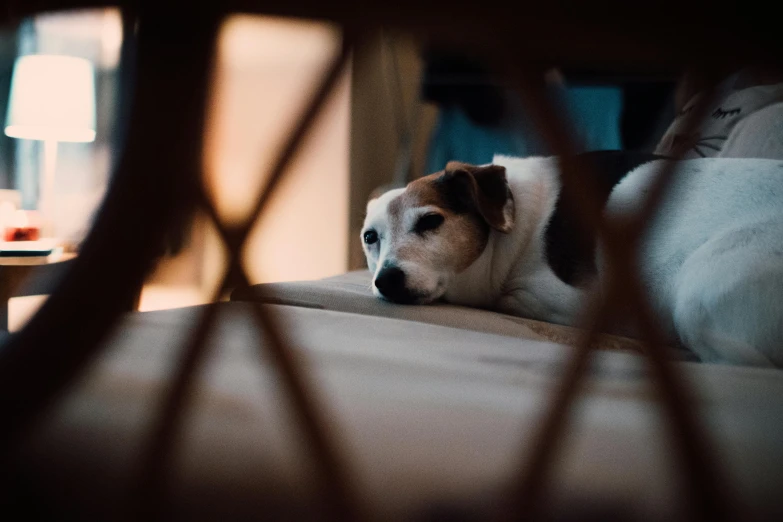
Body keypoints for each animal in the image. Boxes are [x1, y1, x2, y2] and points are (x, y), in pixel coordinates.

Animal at [362, 150, 783, 366]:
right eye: (370, 238)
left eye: (431, 221)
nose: (386, 280)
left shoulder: (580, 299)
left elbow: (508, 296)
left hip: (700, 295)